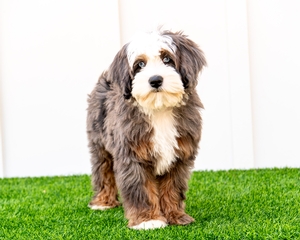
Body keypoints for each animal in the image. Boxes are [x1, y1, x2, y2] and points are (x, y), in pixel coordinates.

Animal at [85, 30, 205, 231]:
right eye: (140, 64)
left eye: (167, 59)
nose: (155, 80)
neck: (159, 108)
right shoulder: (133, 153)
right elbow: (141, 188)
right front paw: (148, 220)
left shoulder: (180, 153)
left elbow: (173, 187)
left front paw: (175, 215)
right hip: (98, 140)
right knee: (103, 168)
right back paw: (103, 202)